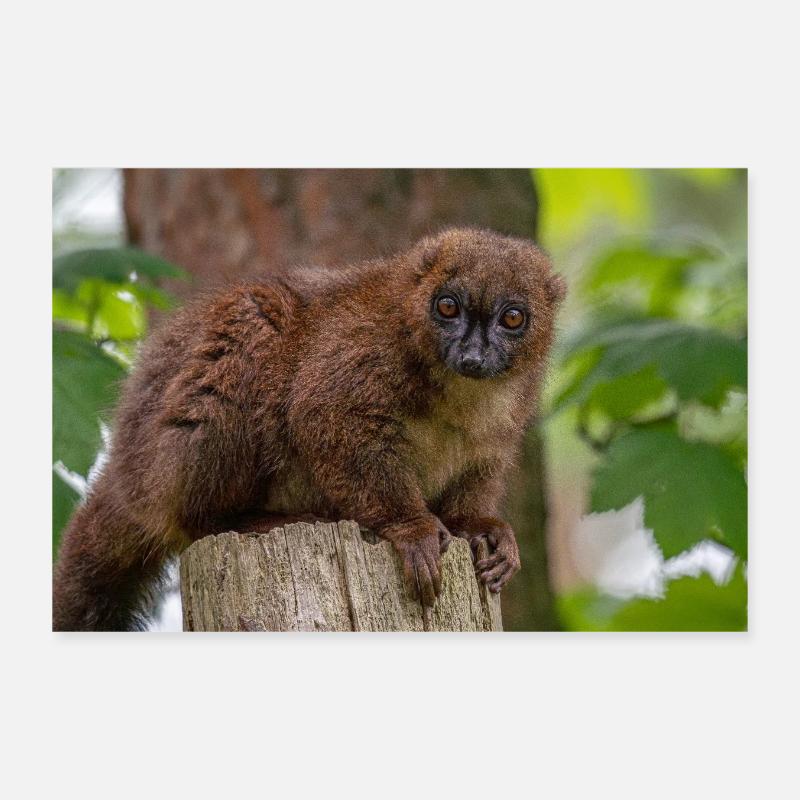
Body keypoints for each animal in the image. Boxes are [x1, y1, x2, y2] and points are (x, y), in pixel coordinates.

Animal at [52, 227, 565, 631]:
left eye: (512, 318)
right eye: (447, 308)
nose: (473, 355)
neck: (456, 389)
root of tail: (127, 467)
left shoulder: (510, 413)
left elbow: (483, 460)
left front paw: (477, 527)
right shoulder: (364, 348)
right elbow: (320, 414)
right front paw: (412, 526)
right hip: (168, 460)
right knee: (255, 317)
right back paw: (248, 520)